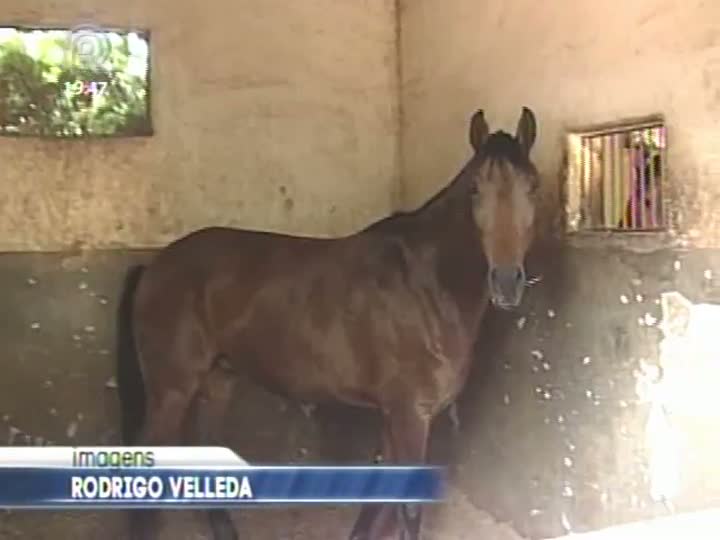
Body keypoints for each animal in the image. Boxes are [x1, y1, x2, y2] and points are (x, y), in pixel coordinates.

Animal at [115, 106, 540, 540]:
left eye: (533, 188)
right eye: (475, 190)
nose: (507, 281)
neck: (427, 285)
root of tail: (155, 266)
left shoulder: (393, 416)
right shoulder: (409, 414)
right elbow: (406, 509)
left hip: (218, 379)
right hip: (172, 389)